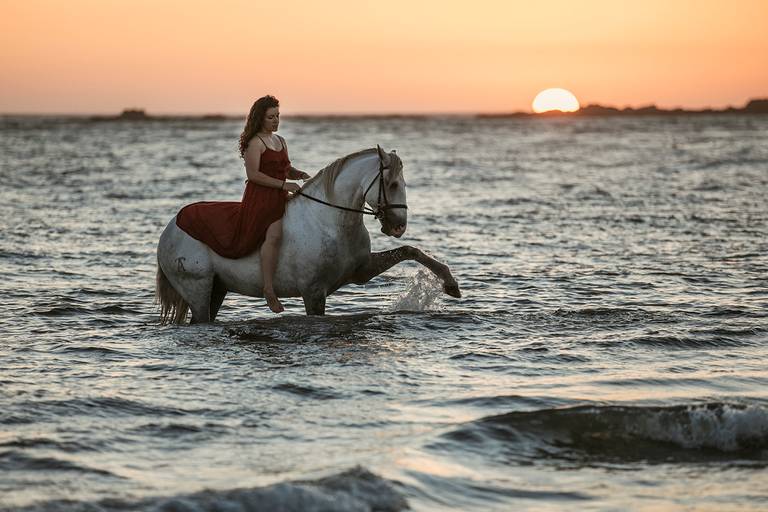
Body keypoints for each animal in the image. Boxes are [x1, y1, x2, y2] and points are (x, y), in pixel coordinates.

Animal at [155, 146, 461, 324]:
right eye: (392, 183)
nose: (399, 226)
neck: (331, 223)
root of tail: (170, 228)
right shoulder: (313, 293)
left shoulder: (361, 271)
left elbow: (410, 251)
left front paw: (451, 284)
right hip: (197, 288)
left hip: (217, 289)